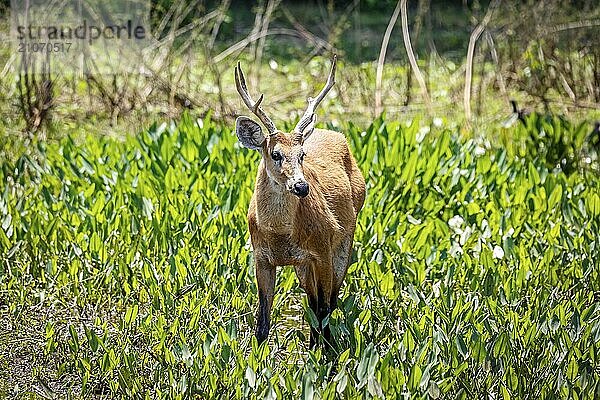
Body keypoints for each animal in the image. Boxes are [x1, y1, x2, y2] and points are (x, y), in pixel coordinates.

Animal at [234, 56, 366, 346]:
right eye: (275, 154)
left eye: (302, 154)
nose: (301, 186)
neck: (280, 235)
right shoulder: (261, 258)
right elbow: (262, 323)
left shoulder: (322, 249)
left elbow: (325, 308)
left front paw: (323, 353)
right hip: (303, 266)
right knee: (313, 300)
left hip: (344, 242)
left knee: (329, 302)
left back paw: (322, 343)